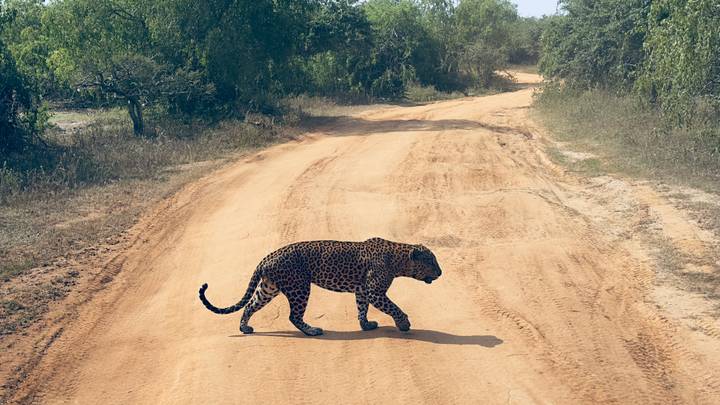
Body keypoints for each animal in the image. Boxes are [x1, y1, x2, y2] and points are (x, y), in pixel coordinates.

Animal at [198, 237, 442, 336]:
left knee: (250, 305)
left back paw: (245, 328)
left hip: (268, 288)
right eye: (432, 262)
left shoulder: (363, 291)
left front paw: (365, 325)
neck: (398, 260)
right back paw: (312, 331)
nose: (440, 273)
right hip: (299, 287)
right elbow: (394, 308)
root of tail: (268, 256)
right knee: (294, 316)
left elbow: (361, 308)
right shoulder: (374, 291)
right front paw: (404, 324)